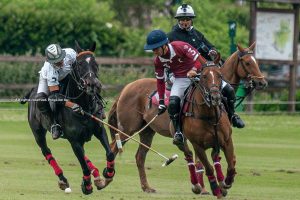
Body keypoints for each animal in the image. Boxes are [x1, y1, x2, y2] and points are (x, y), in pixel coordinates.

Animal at [21, 41, 115, 194]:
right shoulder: (75, 140)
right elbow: (83, 164)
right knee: (46, 151)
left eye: (96, 63)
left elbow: (110, 153)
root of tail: (33, 91)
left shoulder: (99, 131)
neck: (84, 107)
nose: (93, 84)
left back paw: (97, 176)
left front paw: (108, 173)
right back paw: (63, 180)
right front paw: (87, 185)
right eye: (79, 64)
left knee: (84, 155)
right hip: (38, 132)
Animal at [107, 42, 268, 194]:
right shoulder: (196, 140)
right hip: (127, 129)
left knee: (139, 157)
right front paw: (204, 188)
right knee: (114, 147)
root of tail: (125, 89)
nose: (262, 82)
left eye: (256, 62)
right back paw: (105, 180)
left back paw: (146, 187)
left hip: (147, 131)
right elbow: (200, 162)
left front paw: (212, 185)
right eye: (247, 62)